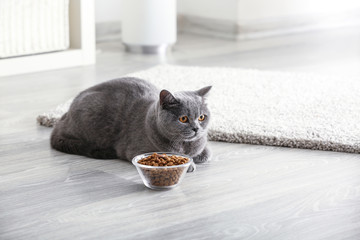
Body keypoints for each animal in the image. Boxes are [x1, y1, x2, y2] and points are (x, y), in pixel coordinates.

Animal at [50, 77, 211, 165]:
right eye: (183, 119)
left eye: (202, 117)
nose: (196, 128)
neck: (185, 146)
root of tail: (64, 118)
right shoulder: (140, 151)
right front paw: (190, 164)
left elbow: (207, 154)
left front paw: (199, 156)